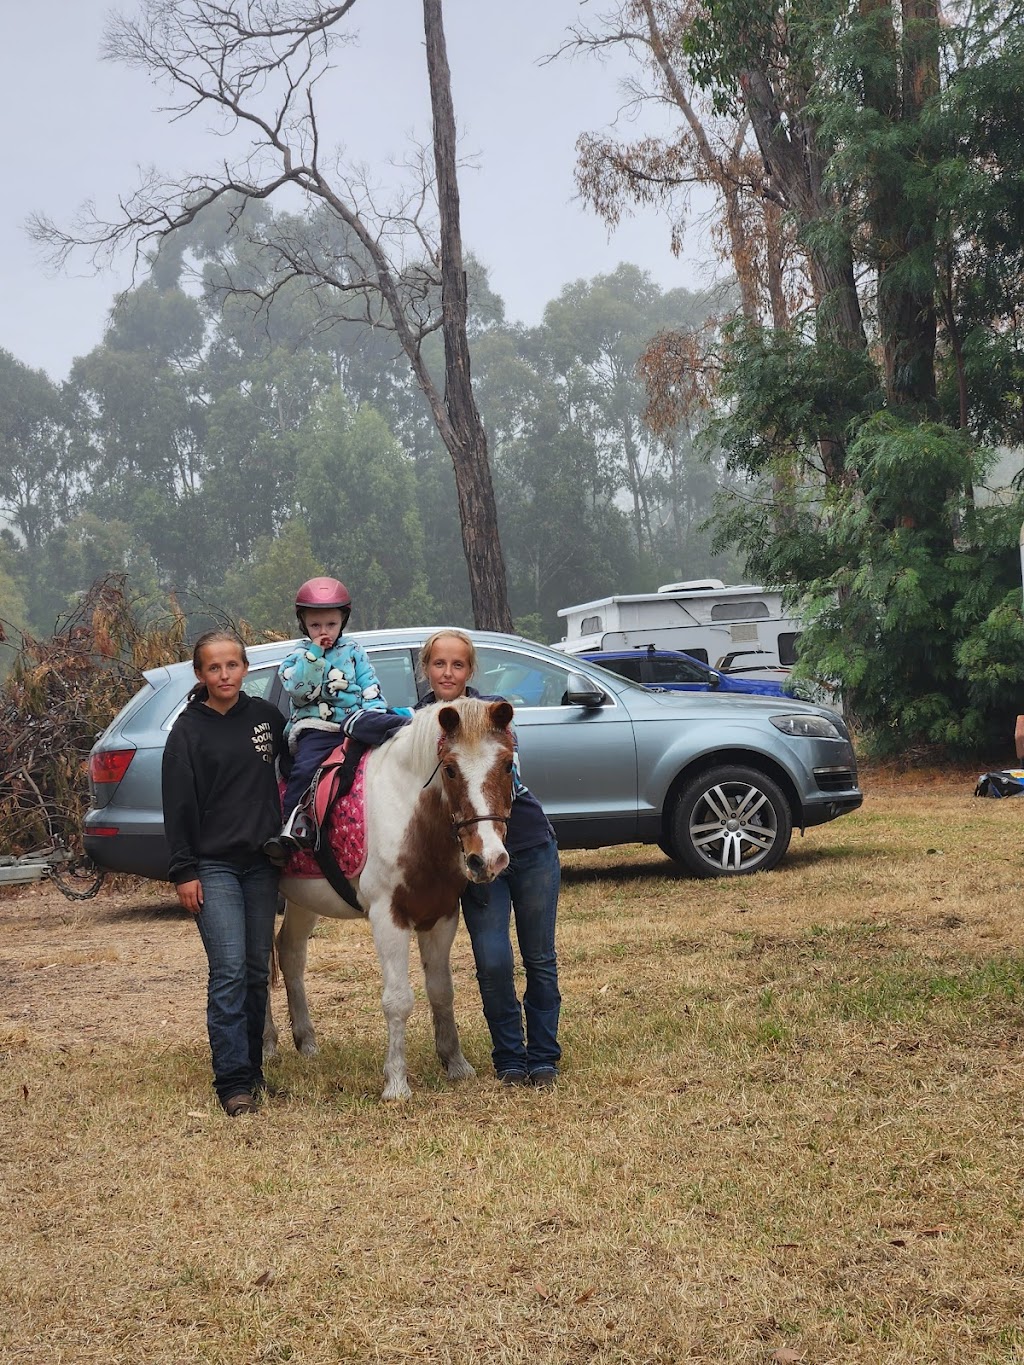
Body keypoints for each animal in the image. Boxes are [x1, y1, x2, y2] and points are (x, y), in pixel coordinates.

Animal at [263, 696, 516, 1100]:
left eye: (507, 764)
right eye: (450, 769)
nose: (488, 859)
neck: (411, 817)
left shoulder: (442, 915)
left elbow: (441, 992)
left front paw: (456, 1064)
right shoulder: (389, 917)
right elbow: (398, 1000)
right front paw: (396, 1083)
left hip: (302, 901)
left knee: (290, 954)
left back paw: (306, 1042)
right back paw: (268, 1044)